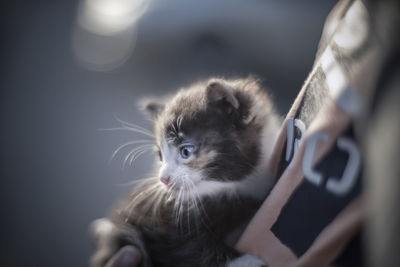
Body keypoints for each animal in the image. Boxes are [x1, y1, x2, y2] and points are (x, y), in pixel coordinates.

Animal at [91, 76, 280, 266]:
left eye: (186, 151)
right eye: (160, 155)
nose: (163, 179)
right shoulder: (146, 219)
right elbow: (184, 246)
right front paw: (245, 261)